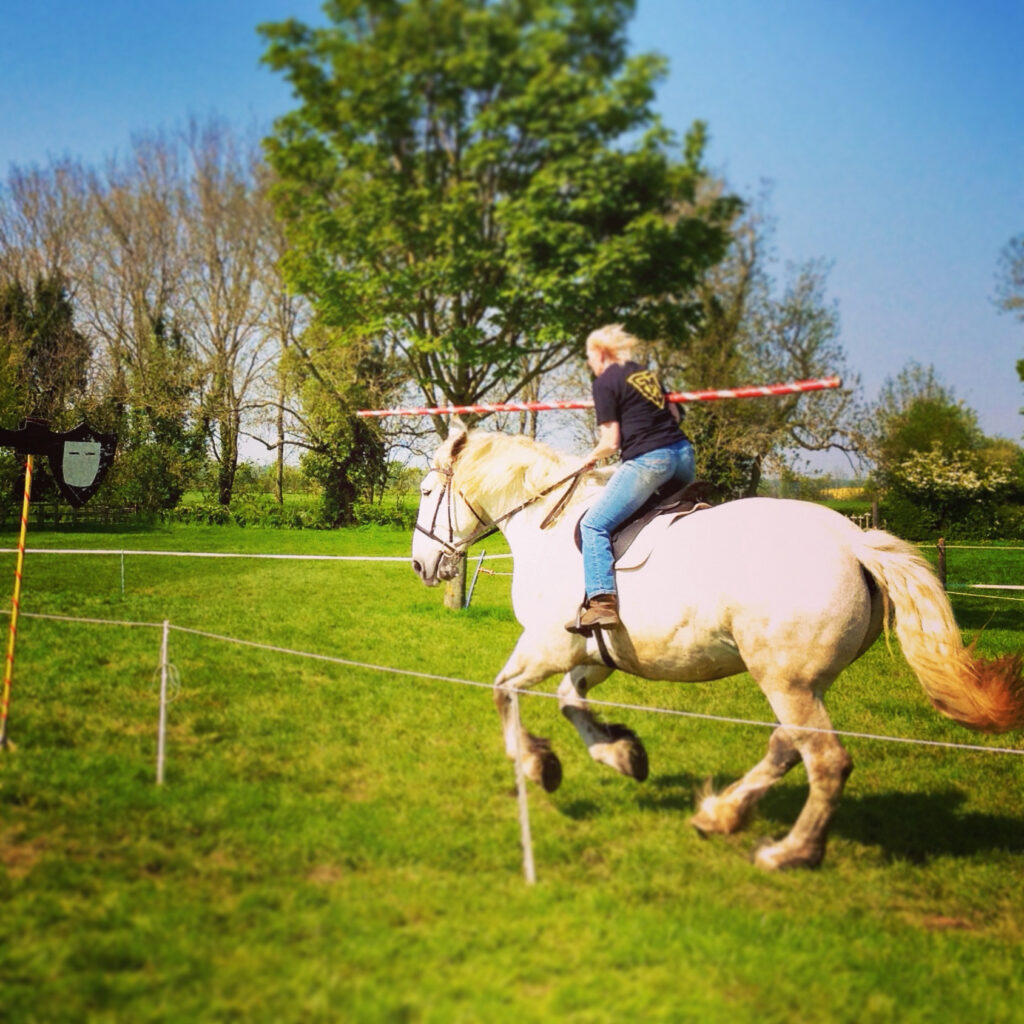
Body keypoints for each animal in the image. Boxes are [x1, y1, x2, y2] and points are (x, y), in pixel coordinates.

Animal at [410, 429, 1024, 869]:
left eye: (426, 493)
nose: (420, 565)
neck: (548, 528)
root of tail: (854, 540)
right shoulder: (593, 656)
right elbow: (569, 702)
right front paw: (622, 754)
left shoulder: (547, 647)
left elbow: (503, 692)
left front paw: (540, 765)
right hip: (799, 681)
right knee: (788, 746)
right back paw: (722, 815)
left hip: (787, 681)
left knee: (825, 761)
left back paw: (789, 851)